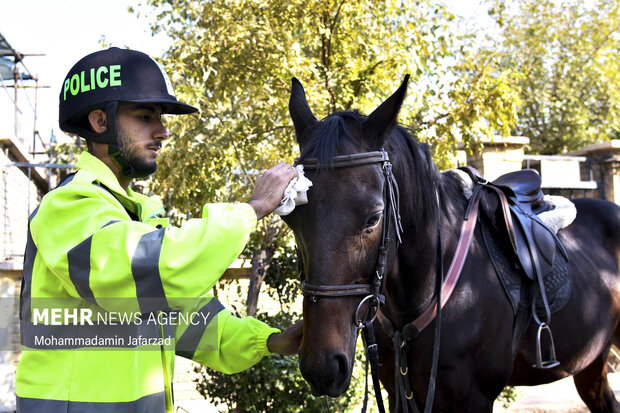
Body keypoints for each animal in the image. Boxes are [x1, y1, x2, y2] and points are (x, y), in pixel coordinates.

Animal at [284, 75, 620, 410]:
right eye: (291, 219)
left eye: (374, 217)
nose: (322, 366)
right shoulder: (398, 392)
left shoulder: (474, 398)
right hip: (592, 362)